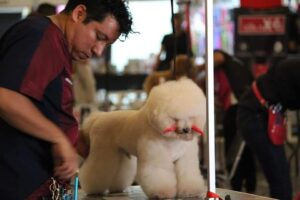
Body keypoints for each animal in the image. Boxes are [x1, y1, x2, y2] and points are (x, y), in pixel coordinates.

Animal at [78, 78, 207, 198]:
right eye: (174, 118)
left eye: (191, 117)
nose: (186, 129)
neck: (171, 139)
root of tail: (98, 117)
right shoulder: (156, 156)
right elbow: (158, 172)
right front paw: (162, 192)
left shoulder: (185, 158)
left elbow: (187, 173)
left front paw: (191, 191)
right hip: (102, 151)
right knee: (96, 169)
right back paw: (93, 190)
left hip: (120, 153)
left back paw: (116, 188)